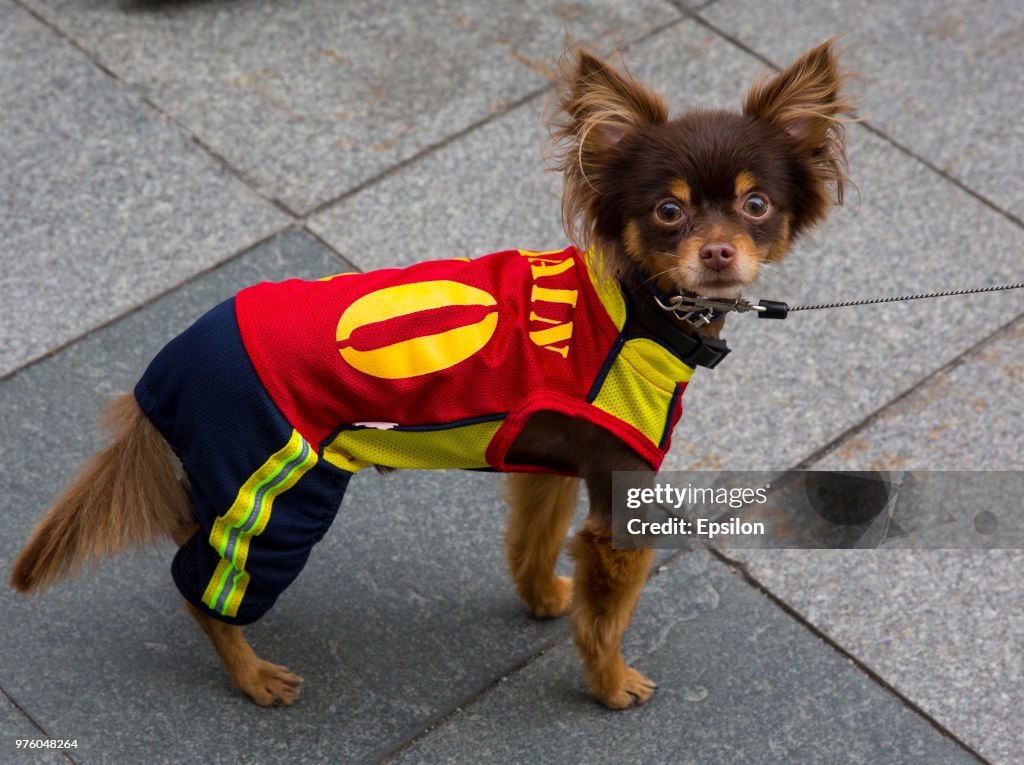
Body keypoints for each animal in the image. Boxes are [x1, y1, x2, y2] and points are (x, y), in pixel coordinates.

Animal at [9, 41, 856, 712]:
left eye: (756, 204)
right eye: (668, 213)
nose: (718, 252)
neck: (641, 307)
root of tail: (168, 364)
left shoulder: (547, 463)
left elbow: (531, 542)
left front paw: (544, 597)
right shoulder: (620, 494)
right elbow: (606, 616)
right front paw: (611, 684)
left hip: (230, 478)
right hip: (282, 491)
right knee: (205, 587)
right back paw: (252, 676)